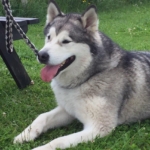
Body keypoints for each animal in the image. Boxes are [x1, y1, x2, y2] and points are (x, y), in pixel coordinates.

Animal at [13, 0, 150, 150]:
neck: (87, 78)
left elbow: (58, 140)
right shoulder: (68, 110)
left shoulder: (99, 127)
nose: (41, 55)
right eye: (49, 37)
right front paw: (26, 134)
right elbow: (42, 116)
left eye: (66, 41)